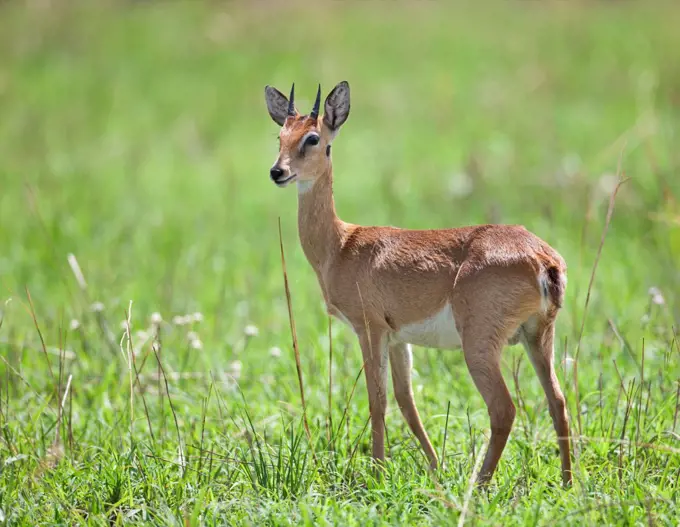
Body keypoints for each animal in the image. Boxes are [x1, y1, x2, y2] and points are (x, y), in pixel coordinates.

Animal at [262, 80, 572, 488]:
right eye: (280, 135)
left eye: (313, 137)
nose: (277, 172)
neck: (341, 246)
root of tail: (543, 258)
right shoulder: (398, 339)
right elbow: (405, 400)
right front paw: (434, 468)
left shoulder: (370, 329)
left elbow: (377, 399)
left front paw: (377, 473)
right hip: (539, 338)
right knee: (558, 401)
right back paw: (568, 483)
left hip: (480, 345)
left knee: (504, 409)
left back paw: (479, 485)